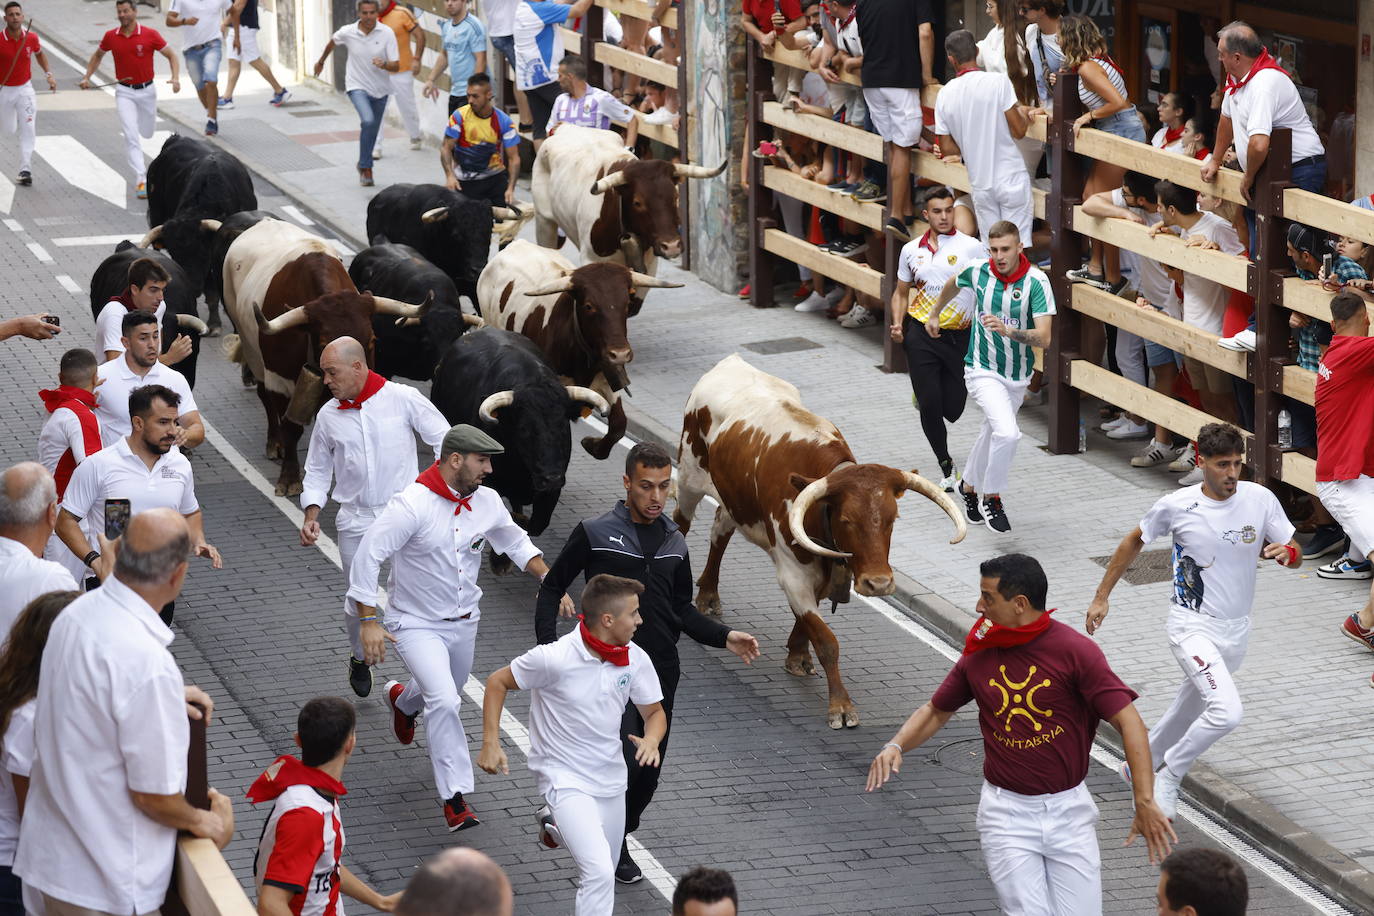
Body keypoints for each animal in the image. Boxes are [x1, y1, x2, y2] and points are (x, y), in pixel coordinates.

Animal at [221, 218, 428, 494]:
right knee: (264, 397)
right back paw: (274, 443)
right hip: (253, 353)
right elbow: (291, 426)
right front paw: (290, 478)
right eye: (323, 343)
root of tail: (265, 221)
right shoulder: (278, 378)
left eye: (372, 341)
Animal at [478, 240, 681, 461]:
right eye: (589, 306)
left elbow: (619, 425)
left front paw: (592, 444)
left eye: (627, 303)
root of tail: (517, 243)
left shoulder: (606, 378)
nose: (620, 354)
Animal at [676, 357, 967, 730]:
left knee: (720, 530)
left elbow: (809, 623)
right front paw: (841, 706)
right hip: (689, 476)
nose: (879, 583)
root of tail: (731, 361)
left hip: (732, 500)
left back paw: (709, 595)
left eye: (892, 519)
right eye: (847, 521)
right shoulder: (793, 573)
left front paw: (798, 655)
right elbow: (826, 639)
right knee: (679, 524)